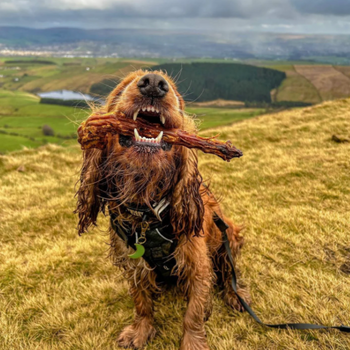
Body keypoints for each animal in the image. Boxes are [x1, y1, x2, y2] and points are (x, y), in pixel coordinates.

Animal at [76, 69, 252, 348]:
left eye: (177, 97)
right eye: (122, 87)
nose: (154, 83)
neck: (147, 209)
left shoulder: (197, 264)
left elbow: (193, 313)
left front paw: (192, 342)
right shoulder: (133, 262)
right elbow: (141, 302)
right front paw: (141, 331)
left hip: (228, 238)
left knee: (228, 275)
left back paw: (236, 296)